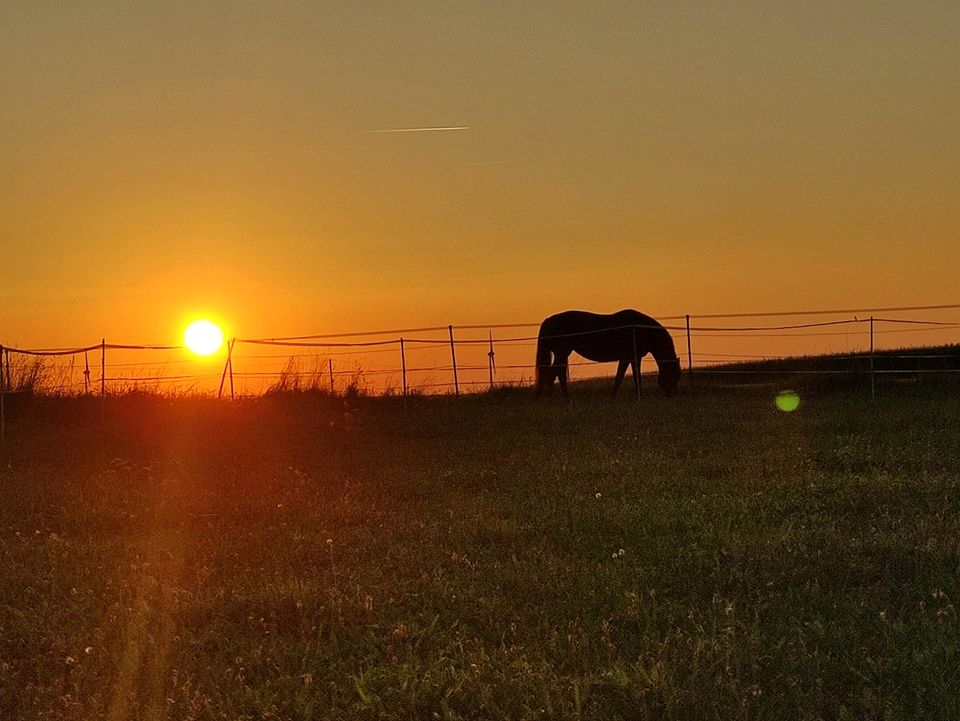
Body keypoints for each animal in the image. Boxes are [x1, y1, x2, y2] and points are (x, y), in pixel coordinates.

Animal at [536, 310, 680, 400]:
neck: (639, 329)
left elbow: (632, 377)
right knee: (554, 373)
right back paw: (557, 398)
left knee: (557, 373)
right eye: (672, 374)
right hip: (561, 353)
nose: (671, 395)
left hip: (562, 353)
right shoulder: (626, 357)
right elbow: (622, 377)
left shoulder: (634, 357)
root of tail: (549, 320)